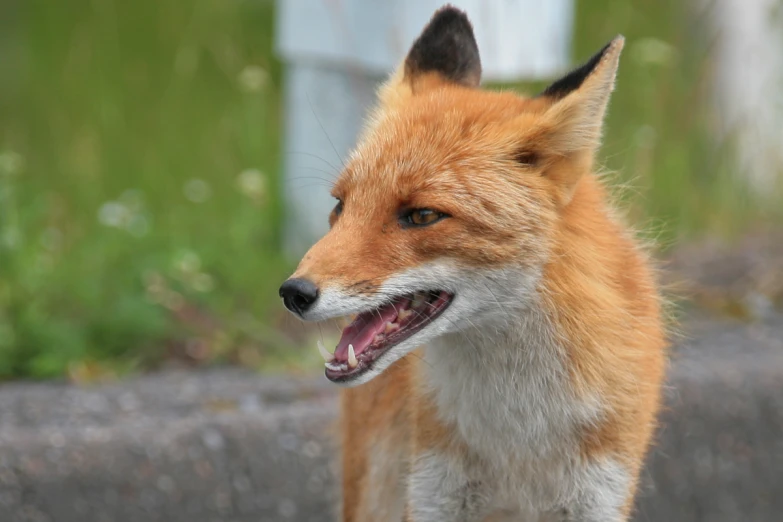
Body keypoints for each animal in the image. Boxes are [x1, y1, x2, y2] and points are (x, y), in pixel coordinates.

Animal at [278, 5, 664, 520]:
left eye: (423, 216)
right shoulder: (434, 492)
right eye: (341, 206)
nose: (293, 293)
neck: (517, 432)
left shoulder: (597, 494)